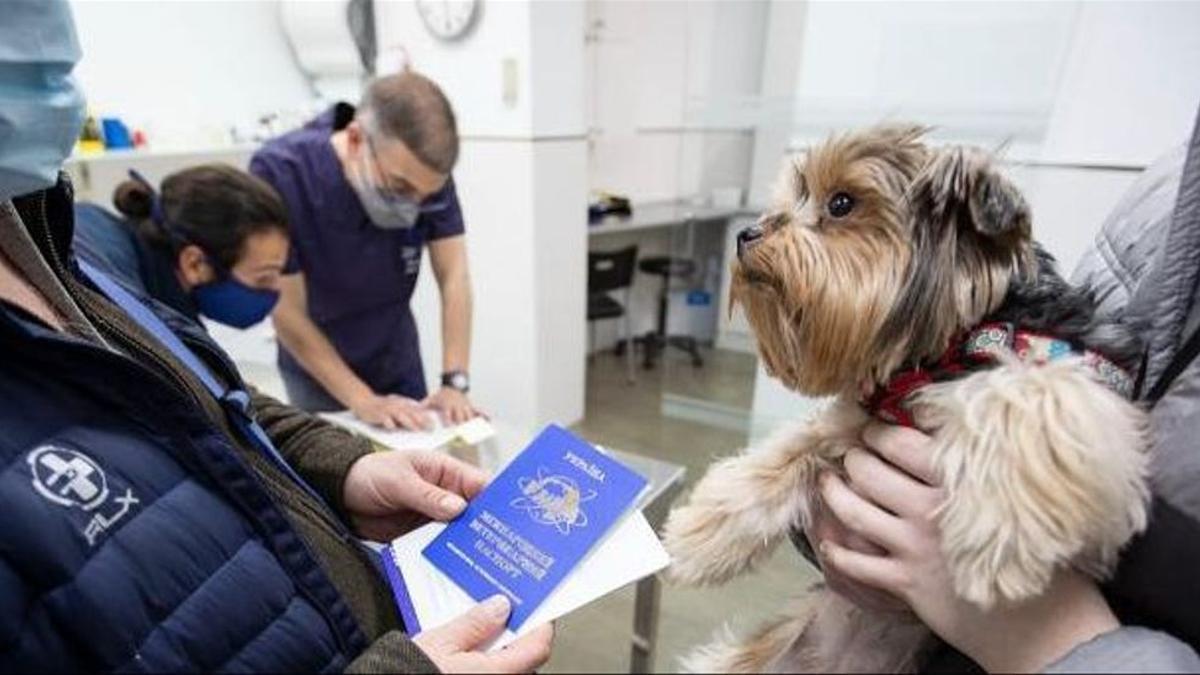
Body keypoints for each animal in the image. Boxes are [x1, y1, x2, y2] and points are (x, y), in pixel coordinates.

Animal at [662, 124, 1147, 667]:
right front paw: (697, 537)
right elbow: (788, 451)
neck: (942, 352)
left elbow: (1025, 393)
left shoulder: (1079, 371)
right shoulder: (856, 420)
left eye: (841, 203)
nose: (745, 234)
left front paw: (1003, 537)